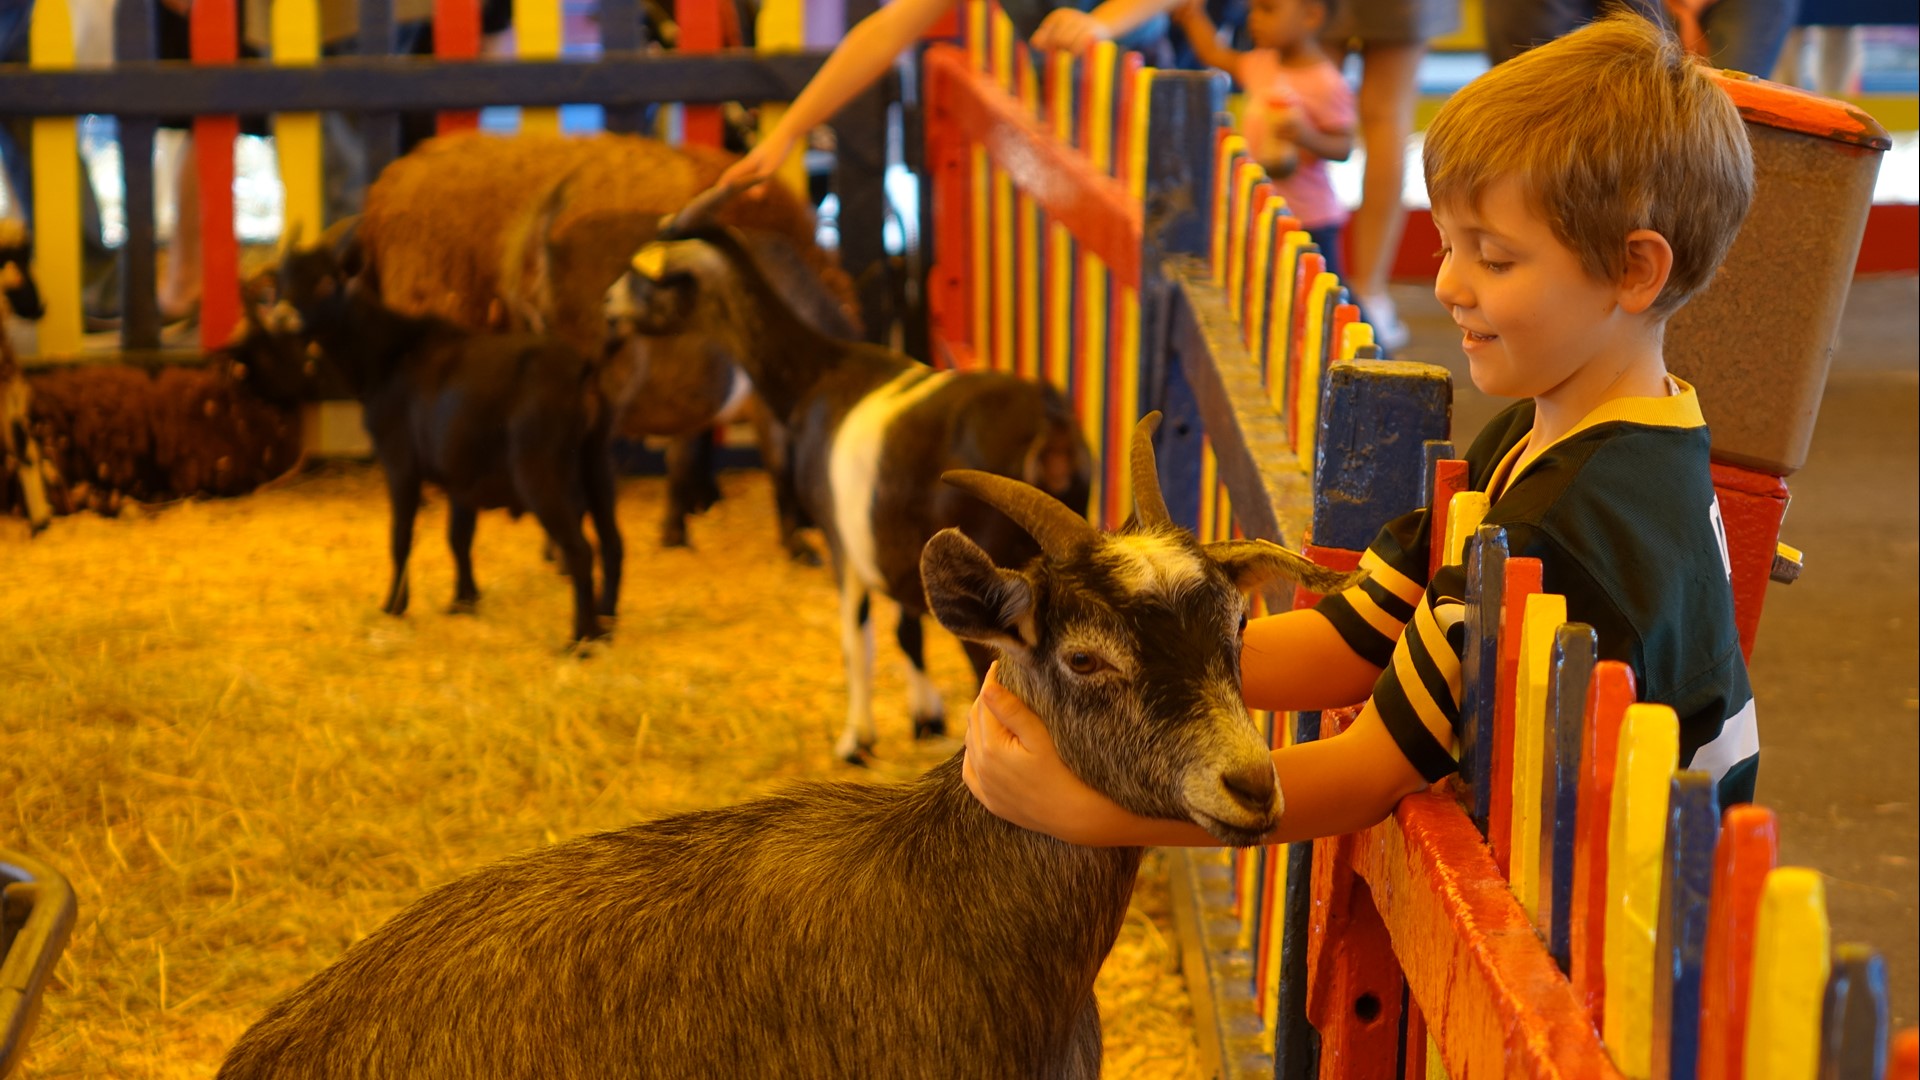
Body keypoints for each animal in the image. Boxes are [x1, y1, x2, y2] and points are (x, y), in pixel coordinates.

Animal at [247, 226, 622, 641]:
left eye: (326, 281)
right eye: (282, 281)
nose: (282, 317)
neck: (392, 354)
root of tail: (582, 368)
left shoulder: (399, 463)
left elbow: (401, 536)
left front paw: (393, 606)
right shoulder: (461, 476)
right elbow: (458, 537)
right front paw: (463, 602)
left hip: (539, 471)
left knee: (580, 549)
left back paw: (582, 638)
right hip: (596, 463)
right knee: (612, 543)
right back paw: (606, 620)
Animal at [618, 216, 1098, 757]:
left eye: (643, 276)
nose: (608, 305)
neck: (820, 375)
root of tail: (1051, 430)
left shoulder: (840, 539)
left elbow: (856, 639)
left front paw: (856, 742)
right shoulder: (899, 546)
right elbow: (907, 631)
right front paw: (925, 718)